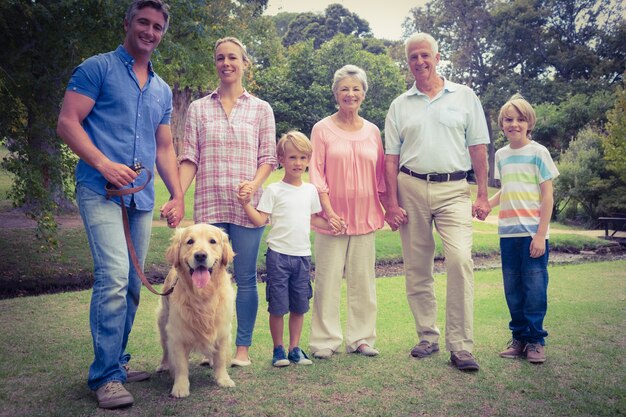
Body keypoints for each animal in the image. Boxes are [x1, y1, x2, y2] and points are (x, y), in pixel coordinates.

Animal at [155, 224, 235, 396]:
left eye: (213, 241)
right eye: (190, 241)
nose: (200, 255)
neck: (202, 295)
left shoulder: (222, 331)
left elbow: (220, 359)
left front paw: (223, 379)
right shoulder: (177, 334)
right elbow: (180, 365)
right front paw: (180, 387)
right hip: (163, 325)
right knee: (165, 349)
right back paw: (164, 365)